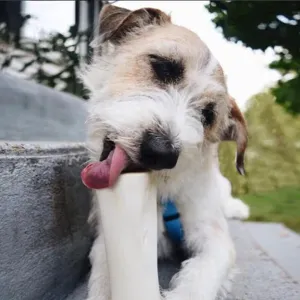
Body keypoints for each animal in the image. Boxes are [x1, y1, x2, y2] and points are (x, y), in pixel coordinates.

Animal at [82, 4, 248, 300]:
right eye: (163, 67)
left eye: (207, 116)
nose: (161, 153)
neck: (163, 190)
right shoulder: (109, 237)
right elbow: (102, 273)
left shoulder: (215, 238)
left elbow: (201, 279)